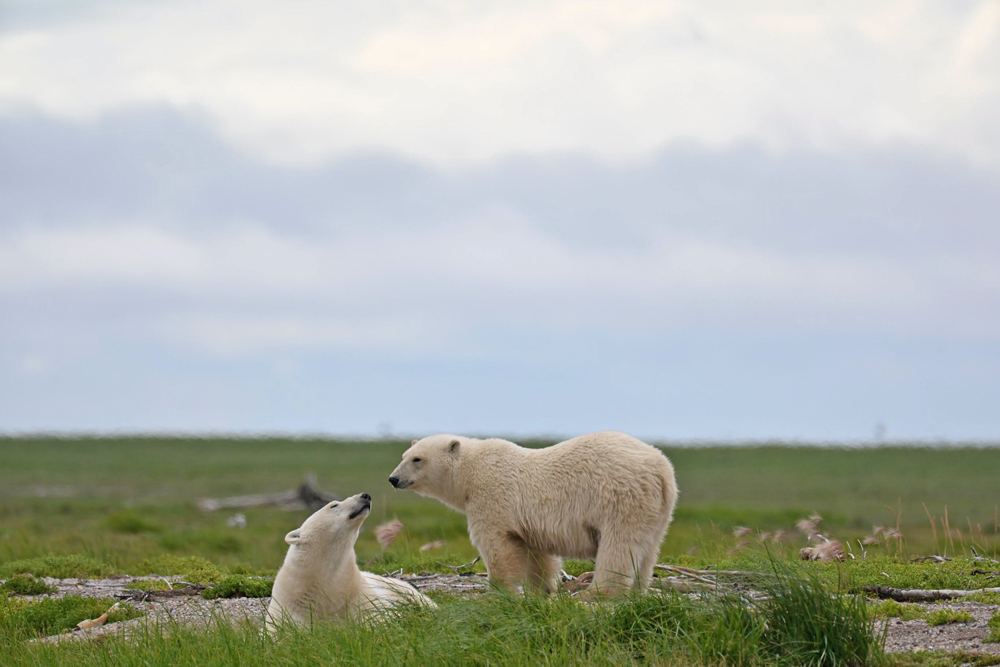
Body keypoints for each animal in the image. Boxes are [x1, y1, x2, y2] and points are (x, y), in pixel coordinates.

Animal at [266, 492, 436, 630]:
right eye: (334, 505)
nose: (365, 495)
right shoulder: (288, 607)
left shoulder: (357, 593)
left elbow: (381, 613)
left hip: (398, 587)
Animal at [388, 431, 677, 596]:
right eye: (404, 455)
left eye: (417, 459)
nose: (393, 479)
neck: (471, 472)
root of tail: (660, 468)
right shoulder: (529, 523)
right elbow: (537, 555)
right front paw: (543, 590)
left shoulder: (492, 498)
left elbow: (497, 546)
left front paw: (499, 591)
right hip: (659, 510)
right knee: (648, 549)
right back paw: (638, 592)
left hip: (619, 498)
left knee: (618, 546)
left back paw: (596, 593)